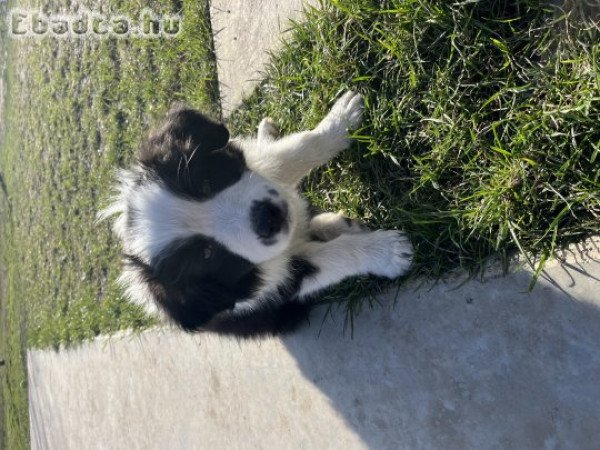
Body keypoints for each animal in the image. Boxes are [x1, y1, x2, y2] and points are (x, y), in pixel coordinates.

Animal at [102, 91, 412, 336]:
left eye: (205, 183)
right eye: (208, 255)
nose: (267, 218)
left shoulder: (256, 170)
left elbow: (295, 151)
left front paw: (341, 120)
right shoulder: (276, 282)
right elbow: (333, 257)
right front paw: (387, 252)